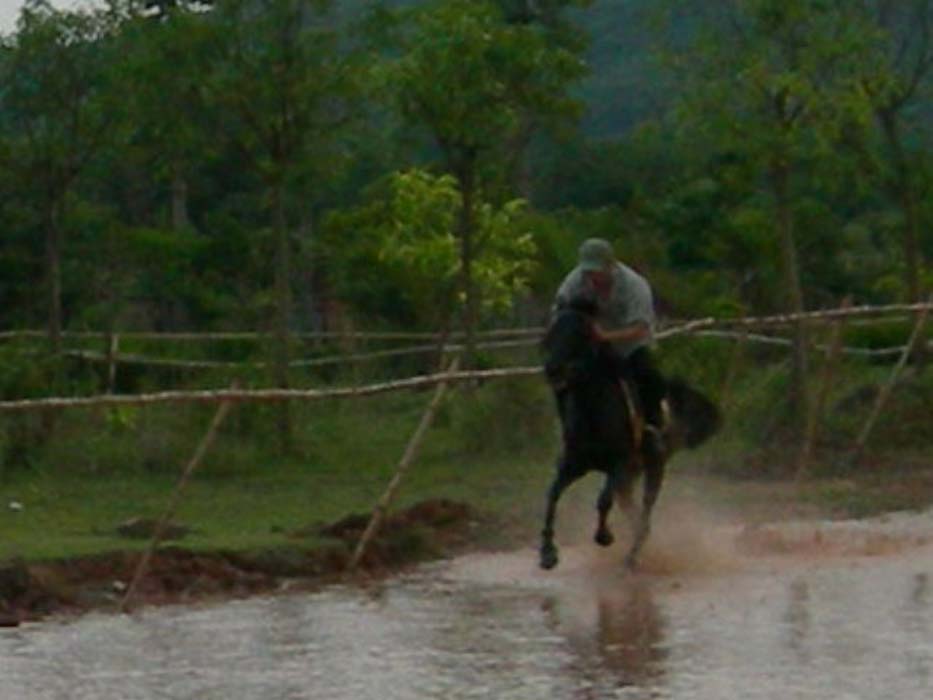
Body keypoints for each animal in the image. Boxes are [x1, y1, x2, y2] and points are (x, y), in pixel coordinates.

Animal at [540, 300, 720, 568]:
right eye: (551, 334)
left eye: (581, 334)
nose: (553, 369)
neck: (593, 414)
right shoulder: (573, 465)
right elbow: (552, 495)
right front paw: (547, 553)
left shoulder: (621, 463)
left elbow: (603, 499)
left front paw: (604, 536)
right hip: (631, 477)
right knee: (637, 517)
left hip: (653, 467)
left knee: (644, 513)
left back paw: (631, 558)